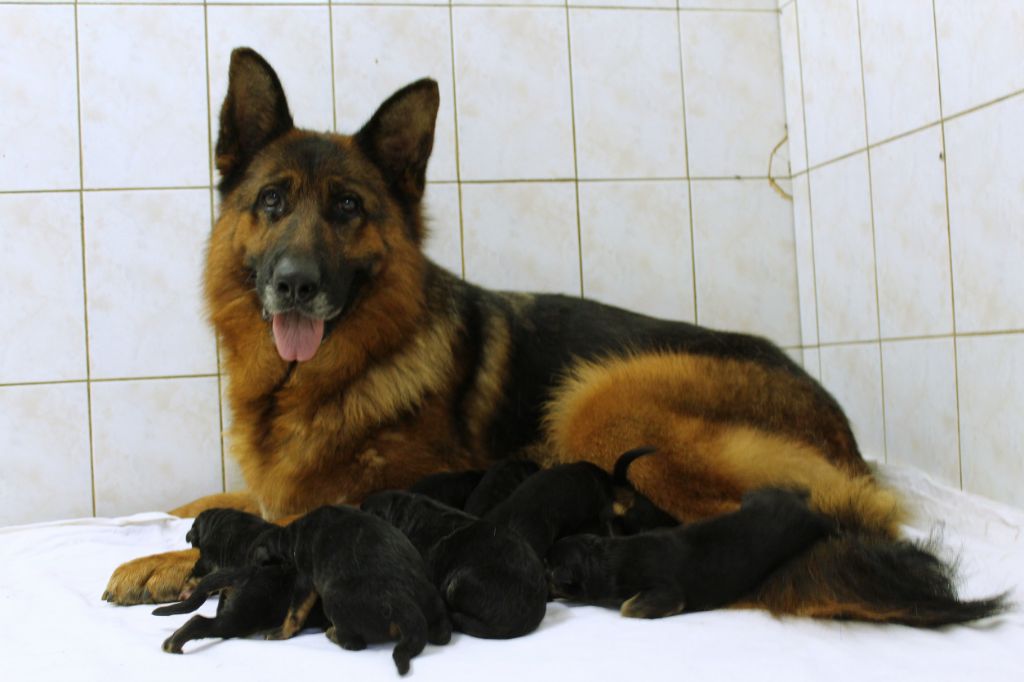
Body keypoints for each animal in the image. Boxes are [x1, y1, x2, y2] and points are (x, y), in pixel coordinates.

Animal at [249, 501, 450, 671]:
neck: (292, 536)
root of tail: (407, 608)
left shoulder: (305, 579)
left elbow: (294, 612)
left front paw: (280, 632)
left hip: (333, 600)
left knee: (355, 644)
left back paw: (333, 634)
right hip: (433, 601)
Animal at [548, 483, 835, 614]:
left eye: (547, 567)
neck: (603, 558)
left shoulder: (668, 593)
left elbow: (627, 607)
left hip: (806, 528)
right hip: (760, 496)